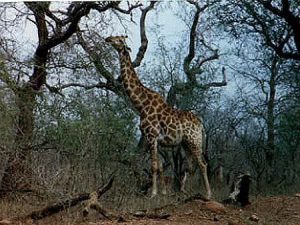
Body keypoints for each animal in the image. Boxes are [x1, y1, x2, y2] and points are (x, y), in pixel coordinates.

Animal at [104, 35, 212, 199]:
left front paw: (153, 193)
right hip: (186, 144)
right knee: (190, 166)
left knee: (202, 164)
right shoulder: (156, 140)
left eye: (120, 39)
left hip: (195, 141)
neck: (141, 105)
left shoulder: (151, 136)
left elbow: (154, 165)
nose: (107, 39)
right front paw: (164, 192)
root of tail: (200, 124)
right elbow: (160, 166)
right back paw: (184, 191)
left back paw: (207, 194)